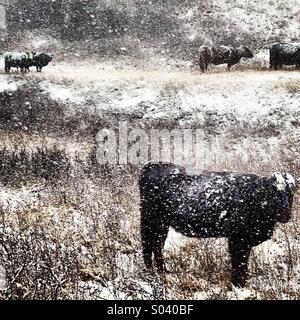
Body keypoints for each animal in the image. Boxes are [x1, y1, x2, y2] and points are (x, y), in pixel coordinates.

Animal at [139, 162, 296, 288]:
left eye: (291, 193)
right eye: (273, 192)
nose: (285, 213)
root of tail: (151, 165)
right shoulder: (238, 240)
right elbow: (239, 263)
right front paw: (238, 285)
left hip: (161, 225)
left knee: (157, 245)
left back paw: (162, 271)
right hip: (150, 221)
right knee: (148, 245)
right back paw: (151, 273)